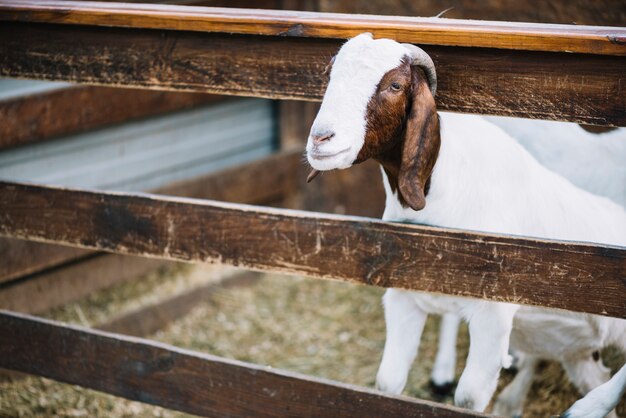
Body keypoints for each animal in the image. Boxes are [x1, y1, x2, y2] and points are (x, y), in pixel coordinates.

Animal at [304, 32, 624, 412]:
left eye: (395, 84)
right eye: (329, 76)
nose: (321, 139)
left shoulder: (493, 313)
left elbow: (469, 398)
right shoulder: (403, 296)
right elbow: (387, 383)